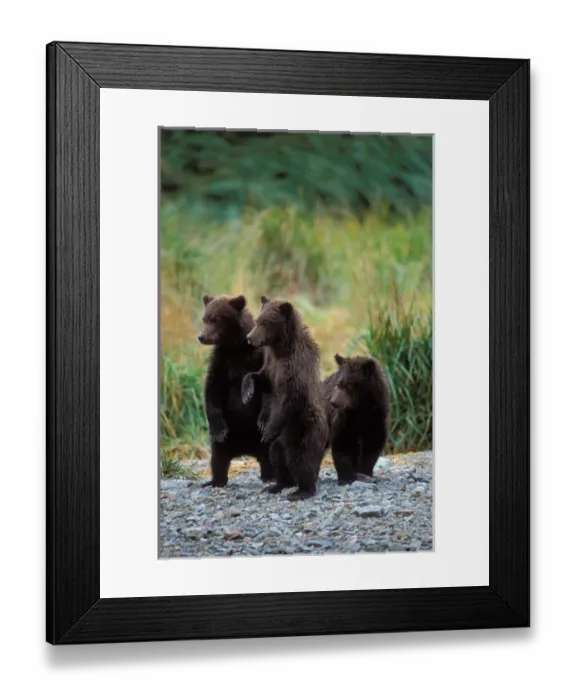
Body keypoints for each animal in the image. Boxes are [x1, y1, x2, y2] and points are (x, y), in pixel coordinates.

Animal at [197, 293, 274, 487]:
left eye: (216, 319)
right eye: (205, 318)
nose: (201, 336)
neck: (235, 348)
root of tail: (244, 451)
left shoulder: (257, 358)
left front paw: (263, 418)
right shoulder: (220, 364)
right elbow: (212, 391)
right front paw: (219, 430)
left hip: (261, 440)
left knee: (268, 454)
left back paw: (269, 476)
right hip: (225, 443)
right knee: (218, 457)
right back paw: (215, 481)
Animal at [241, 296, 328, 501]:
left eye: (265, 323)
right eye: (257, 320)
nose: (249, 337)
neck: (281, 348)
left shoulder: (295, 367)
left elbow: (291, 399)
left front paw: (268, 430)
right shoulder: (271, 364)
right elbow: (260, 378)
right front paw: (249, 396)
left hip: (304, 430)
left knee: (303, 459)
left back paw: (302, 490)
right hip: (282, 441)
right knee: (277, 457)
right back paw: (277, 485)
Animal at [323, 353, 391, 485]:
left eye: (349, 385)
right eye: (338, 383)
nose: (333, 402)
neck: (360, 408)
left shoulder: (377, 416)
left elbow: (373, 444)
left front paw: (364, 473)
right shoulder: (344, 419)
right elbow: (342, 442)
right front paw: (347, 477)